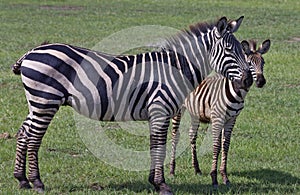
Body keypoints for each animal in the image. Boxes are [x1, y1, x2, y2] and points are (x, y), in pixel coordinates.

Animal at [11, 16, 252, 193]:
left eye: (243, 50)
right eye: (230, 51)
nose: (249, 81)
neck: (173, 70)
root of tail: (32, 52)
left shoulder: (156, 113)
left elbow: (155, 145)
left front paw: (153, 181)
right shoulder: (160, 109)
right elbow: (160, 145)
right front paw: (162, 184)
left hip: (37, 102)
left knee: (24, 132)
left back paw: (22, 180)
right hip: (46, 100)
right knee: (34, 137)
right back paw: (37, 182)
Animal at [170, 39, 270, 187]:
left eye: (263, 63)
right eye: (249, 63)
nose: (261, 81)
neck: (237, 93)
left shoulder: (231, 119)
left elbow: (225, 145)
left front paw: (224, 177)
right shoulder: (218, 118)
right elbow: (216, 146)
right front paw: (214, 177)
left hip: (195, 112)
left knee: (192, 135)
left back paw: (197, 169)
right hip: (179, 109)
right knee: (175, 136)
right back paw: (172, 170)